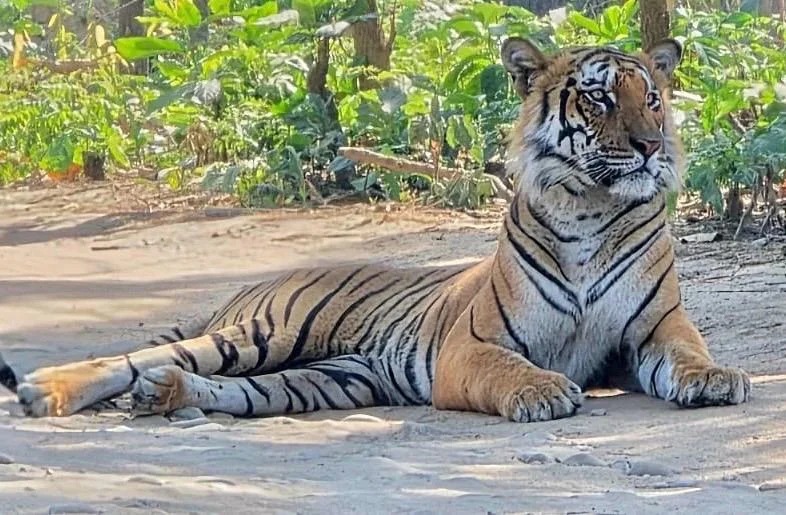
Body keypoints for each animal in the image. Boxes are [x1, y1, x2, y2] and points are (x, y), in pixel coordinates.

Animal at [0, 37, 750, 421]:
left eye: (652, 98)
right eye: (598, 98)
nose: (651, 146)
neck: (592, 208)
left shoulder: (655, 330)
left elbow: (687, 355)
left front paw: (717, 378)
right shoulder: (472, 348)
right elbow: (509, 368)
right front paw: (541, 391)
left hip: (329, 376)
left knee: (235, 389)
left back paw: (167, 396)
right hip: (263, 331)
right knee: (131, 359)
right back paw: (48, 391)